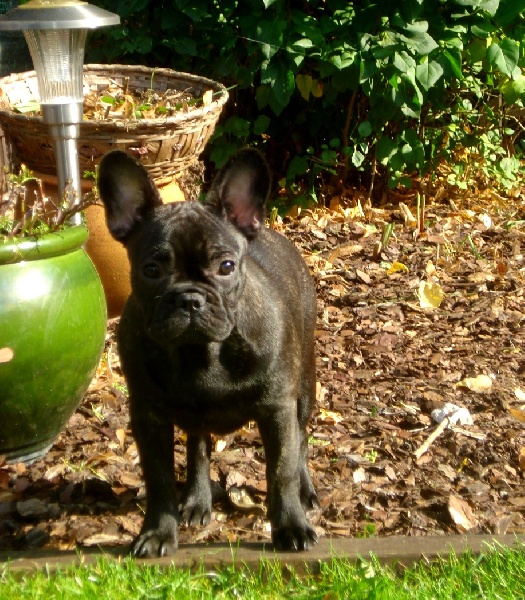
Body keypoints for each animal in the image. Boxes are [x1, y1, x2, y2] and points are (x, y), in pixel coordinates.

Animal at [97, 148, 319, 557]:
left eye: (226, 266)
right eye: (150, 270)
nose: (189, 298)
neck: (200, 352)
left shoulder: (277, 408)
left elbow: (281, 470)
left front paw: (291, 527)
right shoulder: (148, 416)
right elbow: (160, 478)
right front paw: (158, 533)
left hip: (305, 389)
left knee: (301, 439)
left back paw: (306, 490)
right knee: (198, 448)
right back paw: (198, 499)